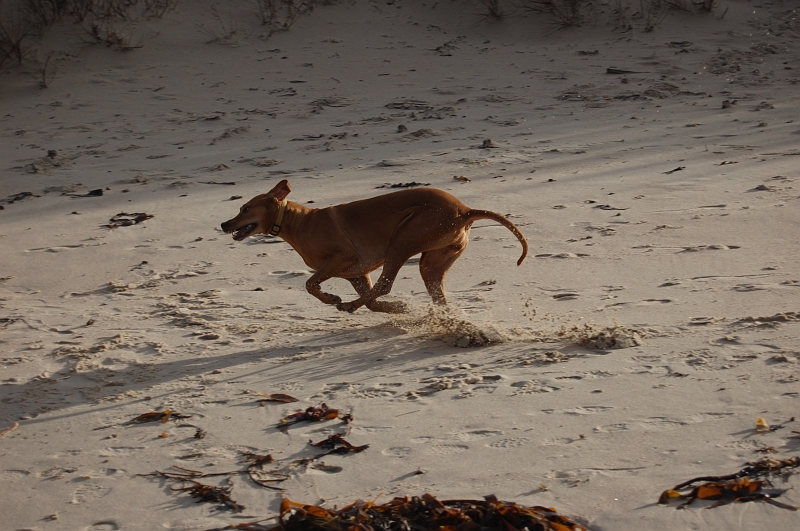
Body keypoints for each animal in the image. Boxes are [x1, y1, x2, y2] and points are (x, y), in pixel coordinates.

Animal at [222, 181, 528, 314]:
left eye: (245, 208)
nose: (224, 224)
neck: (298, 222)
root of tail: (465, 211)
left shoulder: (344, 257)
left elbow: (310, 284)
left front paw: (332, 298)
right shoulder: (357, 273)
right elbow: (371, 300)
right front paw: (395, 309)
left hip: (403, 240)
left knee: (386, 284)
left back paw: (349, 305)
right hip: (432, 261)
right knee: (435, 294)